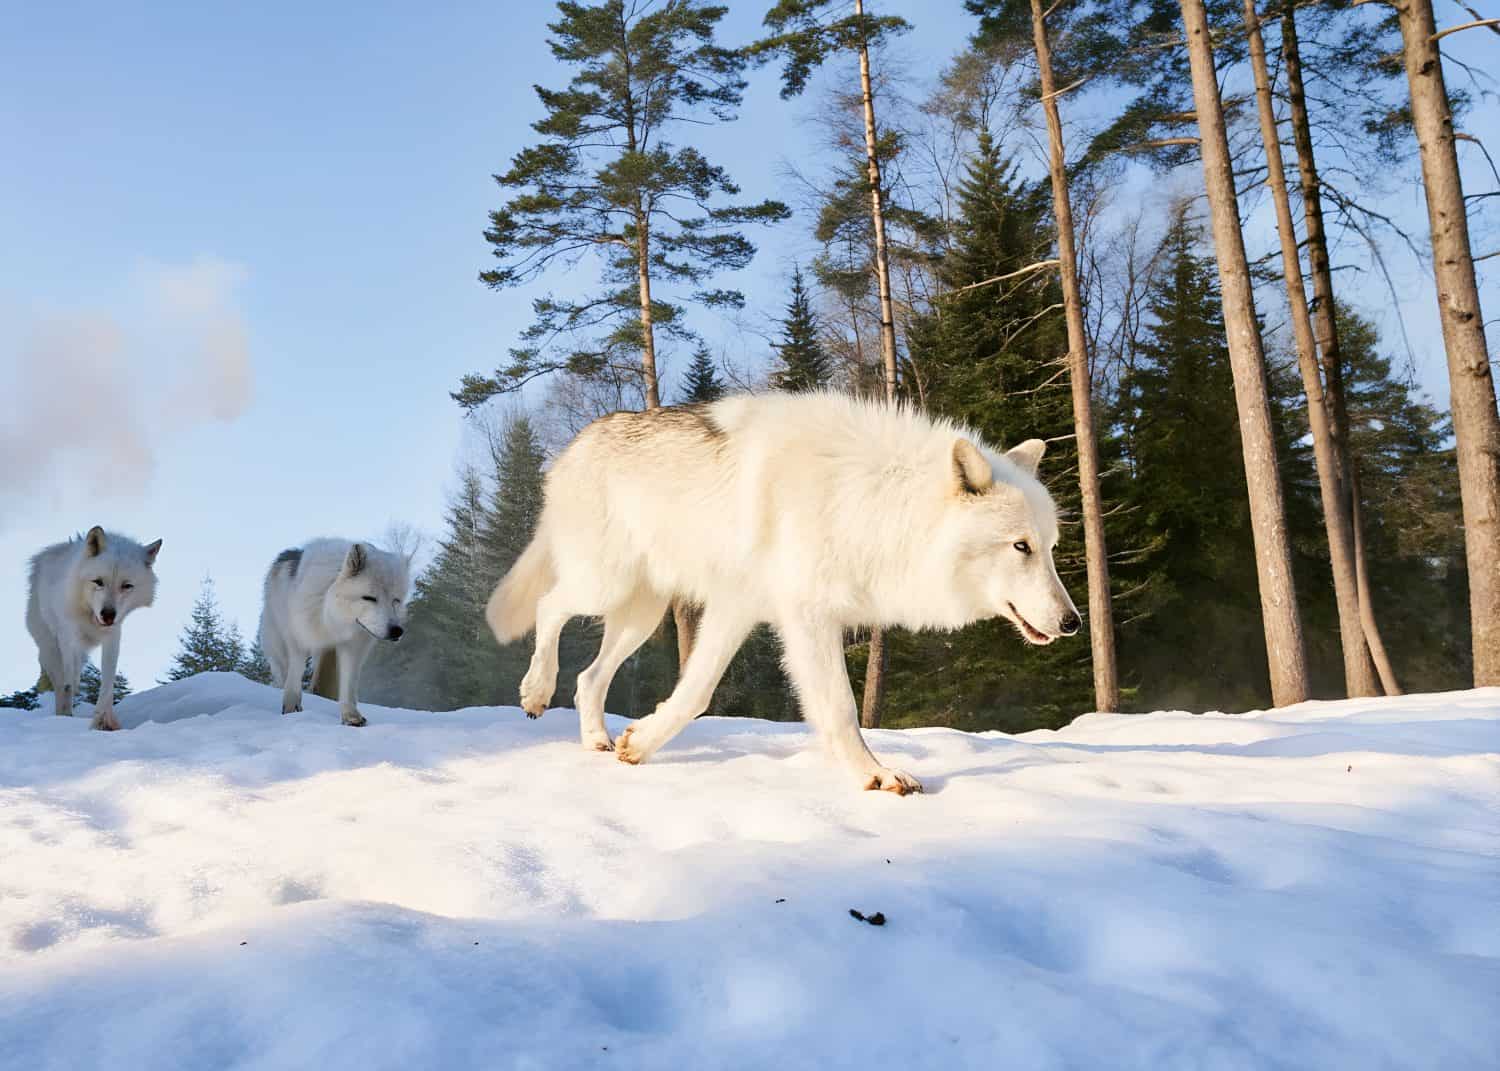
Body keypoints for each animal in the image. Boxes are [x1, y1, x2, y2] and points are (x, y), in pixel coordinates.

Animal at [26, 526, 163, 731]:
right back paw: (62, 714)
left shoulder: (113, 636)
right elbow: (69, 683)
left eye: (127, 586)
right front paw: (69, 713)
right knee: (61, 683)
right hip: (51, 649)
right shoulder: (69, 638)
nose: (108, 615)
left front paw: (103, 721)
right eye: (98, 582)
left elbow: (107, 683)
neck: (90, 617)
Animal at [257, 539, 410, 727]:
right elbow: (295, 675)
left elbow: (348, 685)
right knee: (283, 673)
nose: (397, 631)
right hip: (278, 644)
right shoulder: (299, 639)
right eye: (369, 598)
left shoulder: (352, 647)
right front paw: (291, 709)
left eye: (396, 600)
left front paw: (351, 716)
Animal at [487, 392, 1080, 794]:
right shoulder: (806, 617)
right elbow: (840, 708)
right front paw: (875, 775)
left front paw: (638, 746)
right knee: (548, 607)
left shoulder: (738, 608)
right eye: (1021, 546)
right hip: (602, 584)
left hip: (641, 614)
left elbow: (696, 694)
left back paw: (596, 739)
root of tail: (578, 442)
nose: (1073, 622)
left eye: (1051, 548)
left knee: (589, 678)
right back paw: (536, 691)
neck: (873, 500)